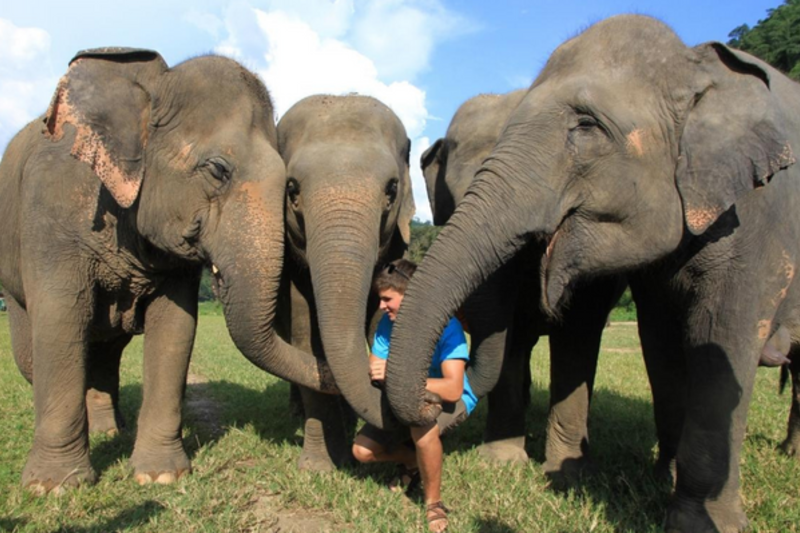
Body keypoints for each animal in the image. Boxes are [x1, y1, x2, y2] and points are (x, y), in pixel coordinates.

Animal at [0, 48, 337, 493]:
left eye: (289, 187)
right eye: (217, 170)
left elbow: (176, 326)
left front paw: (159, 476)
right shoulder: (54, 209)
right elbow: (61, 317)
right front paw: (53, 486)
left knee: (105, 351)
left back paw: (110, 431)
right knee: (34, 354)